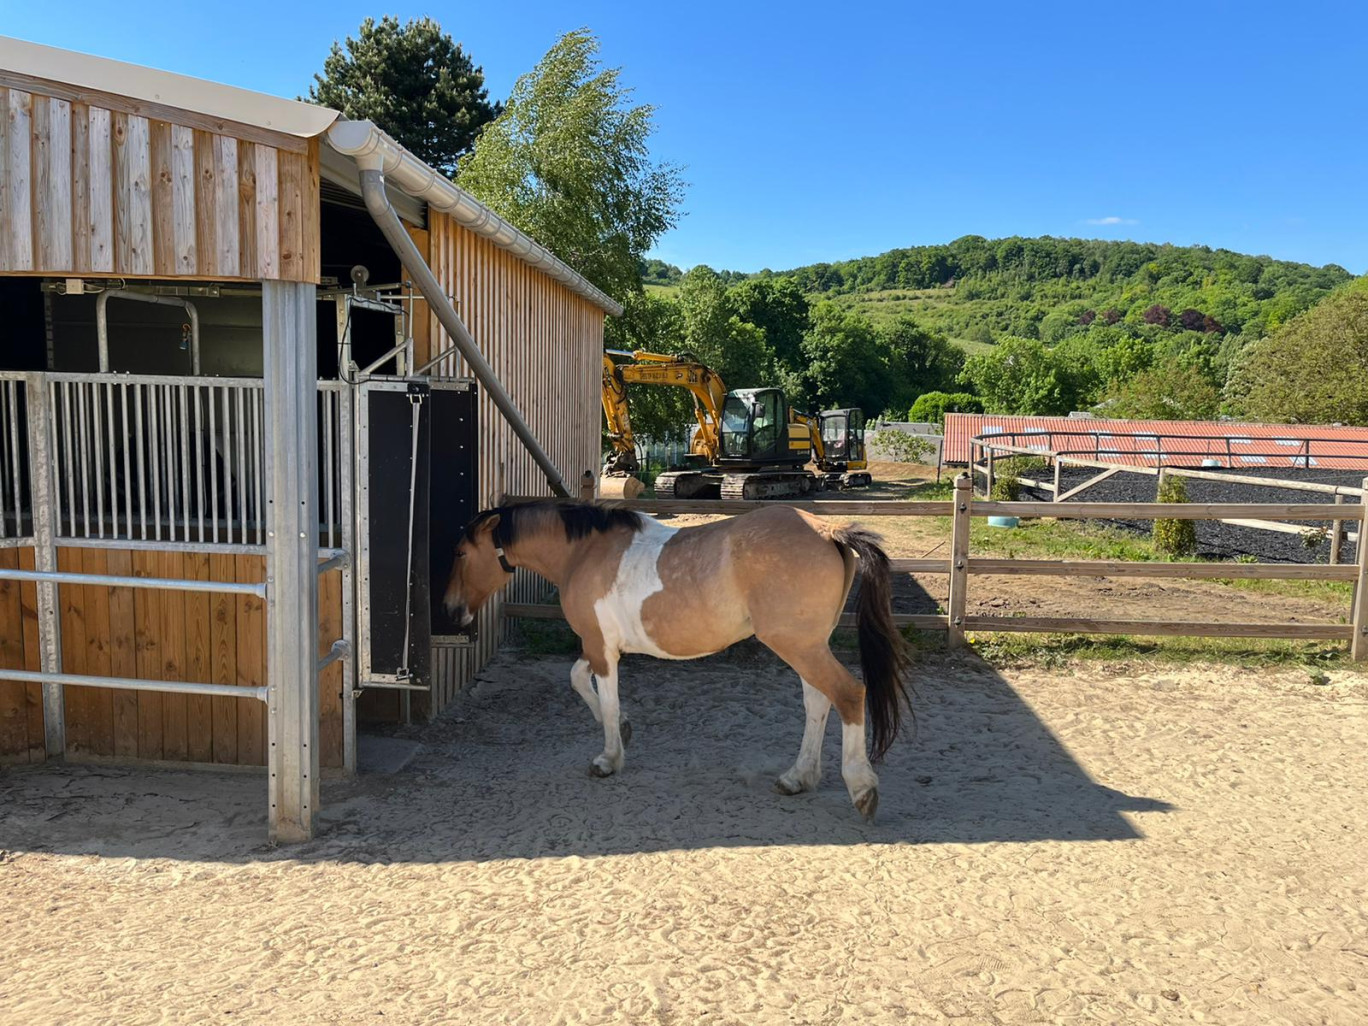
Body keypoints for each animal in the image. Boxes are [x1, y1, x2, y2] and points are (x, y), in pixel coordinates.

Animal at [443, 503, 913, 826]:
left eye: (461, 553)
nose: (450, 611)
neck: (585, 552)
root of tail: (828, 530)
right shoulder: (598, 646)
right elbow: (578, 679)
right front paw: (625, 730)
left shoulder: (600, 647)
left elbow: (605, 701)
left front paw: (609, 758)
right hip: (807, 646)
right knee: (818, 703)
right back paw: (797, 778)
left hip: (798, 645)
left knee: (848, 694)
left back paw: (862, 790)